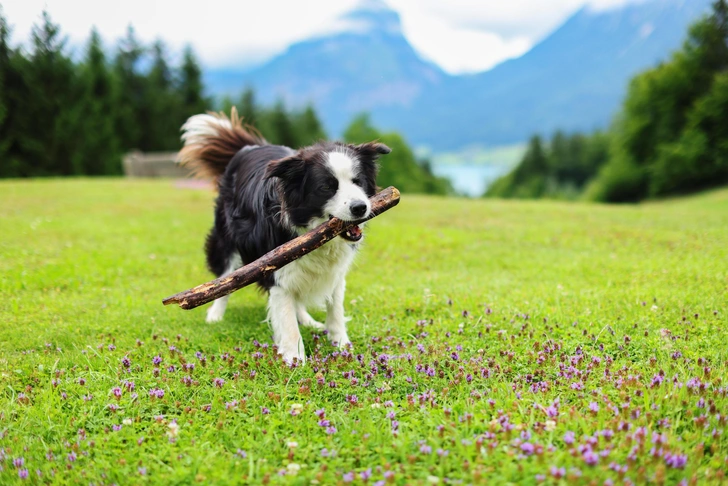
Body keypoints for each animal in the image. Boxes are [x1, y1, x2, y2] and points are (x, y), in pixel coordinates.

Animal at [178, 109, 390, 364]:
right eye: (326, 187)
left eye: (358, 181)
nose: (360, 207)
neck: (312, 232)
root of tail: (249, 147)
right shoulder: (274, 267)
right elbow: (286, 319)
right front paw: (295, 359)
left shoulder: (335, 271)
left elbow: (335, 307)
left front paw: (342, 346)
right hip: (227, 238)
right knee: (224, 278)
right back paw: (215, 316)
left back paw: (308, 320)